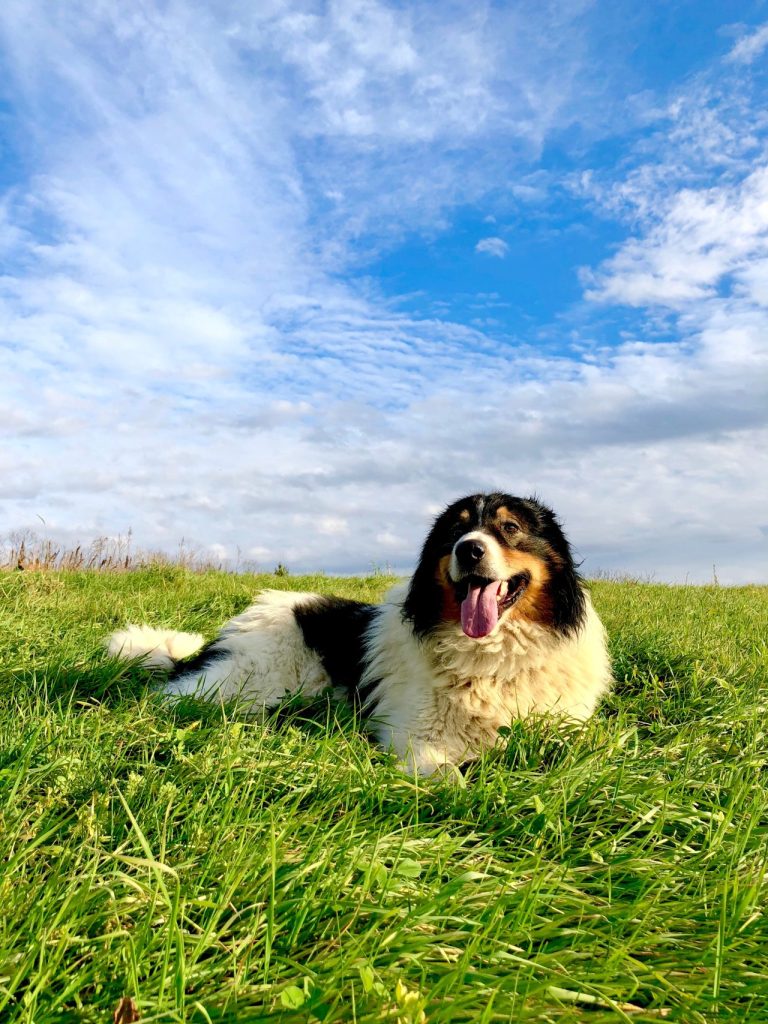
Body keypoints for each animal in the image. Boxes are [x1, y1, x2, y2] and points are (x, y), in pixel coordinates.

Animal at [108, 491, 614, 770]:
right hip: (250, 682)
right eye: (454, 533)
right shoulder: (413, 735)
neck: (493, 653)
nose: (469, 550)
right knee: (170, 695)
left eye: (509, 527)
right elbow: (450, 776)